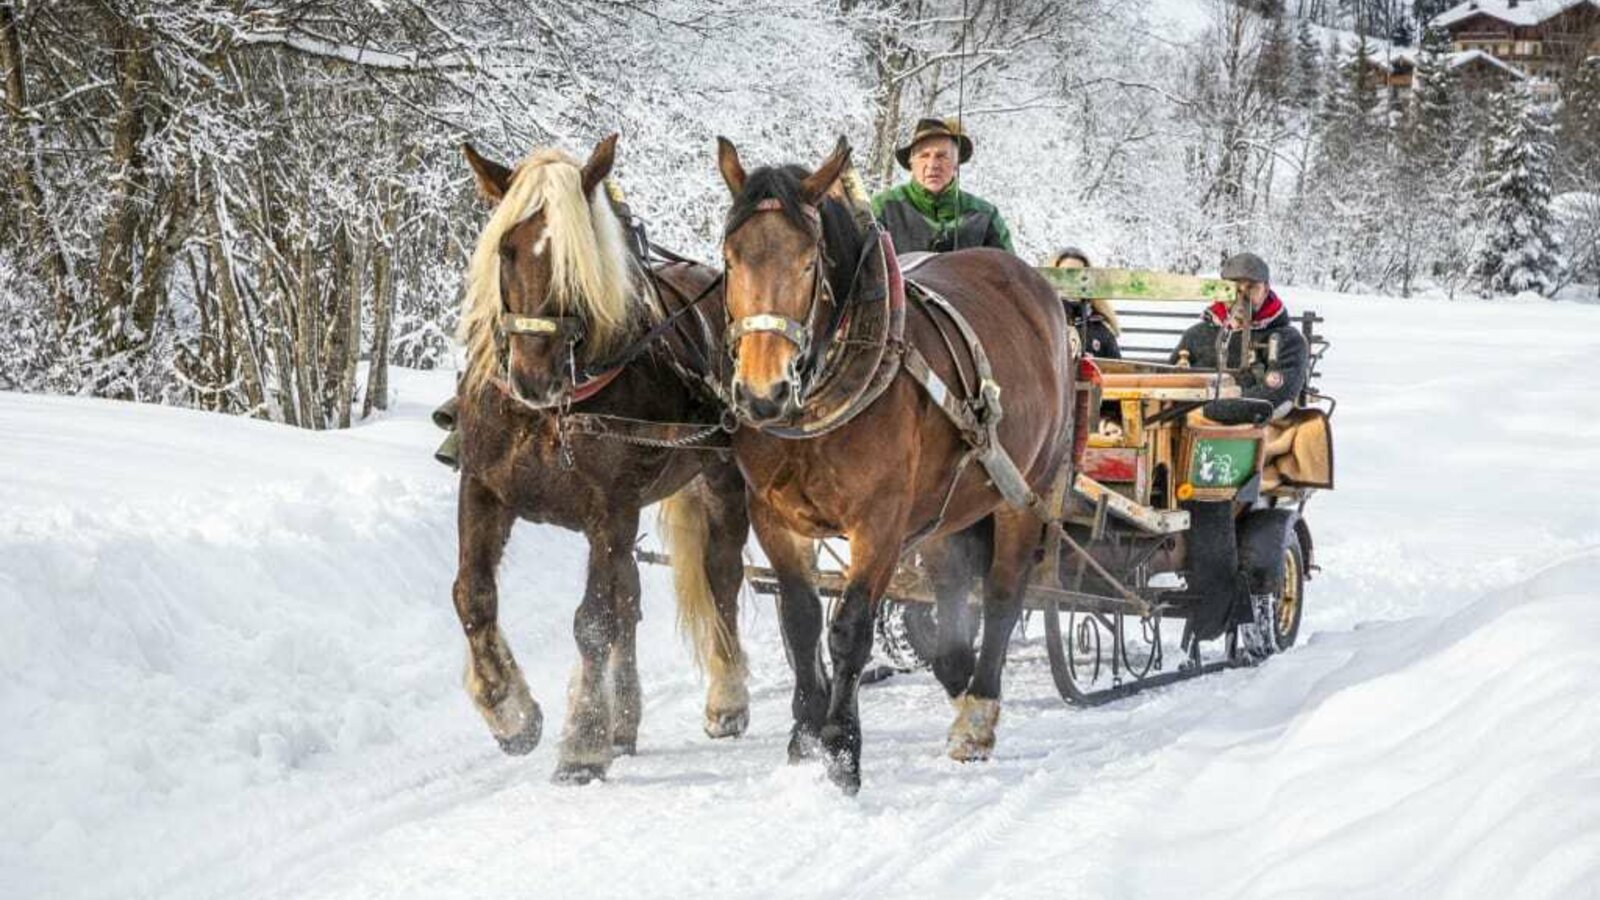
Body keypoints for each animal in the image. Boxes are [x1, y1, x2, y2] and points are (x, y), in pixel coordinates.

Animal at [451, 131, 748, 778]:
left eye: (576, 261)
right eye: (507, 250)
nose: (534, 377)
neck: (550, 415)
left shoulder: (610, 508)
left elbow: (593, 620)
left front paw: (583, 740)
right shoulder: (483, 489)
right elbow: (474, 597)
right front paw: (509, 711)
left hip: (721, 480)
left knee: (721, 579)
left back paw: (727, 698)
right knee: (630, 596)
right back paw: (626, 720)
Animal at [720, 136, 1081, 787]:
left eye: (809, 263)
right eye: (731, 259)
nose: (763, 393)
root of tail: (1039, 289)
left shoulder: (880, 521)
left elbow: (848, 628)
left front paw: (841, 749)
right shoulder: (773, 516)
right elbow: (800, 619)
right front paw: (804, 737)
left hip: (1028, 489)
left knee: (1002, 595)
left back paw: (977, 715)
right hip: (948, 509)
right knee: (950, 595)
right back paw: (958, 680)